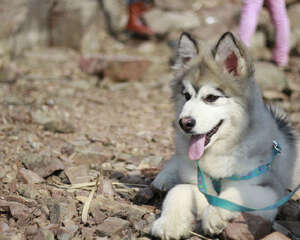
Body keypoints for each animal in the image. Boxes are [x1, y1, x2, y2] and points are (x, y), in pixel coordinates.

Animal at [152, 31, 300, 238]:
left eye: (211, 98)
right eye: (186, 96)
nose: (184, 123)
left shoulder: (271, 191)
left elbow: (233, 194)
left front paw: (213, 216)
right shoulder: (199, 184)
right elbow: (179, 189)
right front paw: (169, 223)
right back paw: (163, 178)